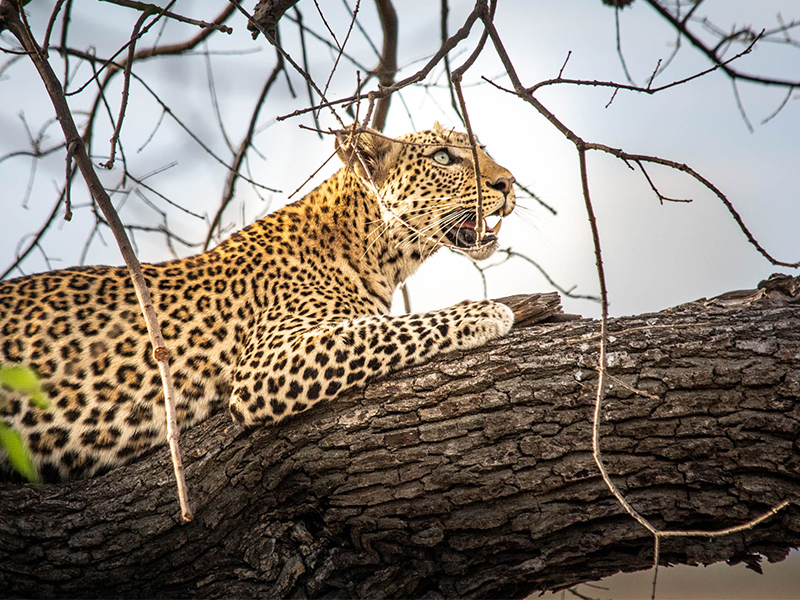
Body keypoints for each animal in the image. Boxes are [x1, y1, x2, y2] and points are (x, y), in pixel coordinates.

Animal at [0, 123, 516, 482]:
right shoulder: (267, 362)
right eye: (444, 157)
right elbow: (389, 328)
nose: (509, 183)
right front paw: (488, 312)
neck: (374, 253)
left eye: (483, 148)